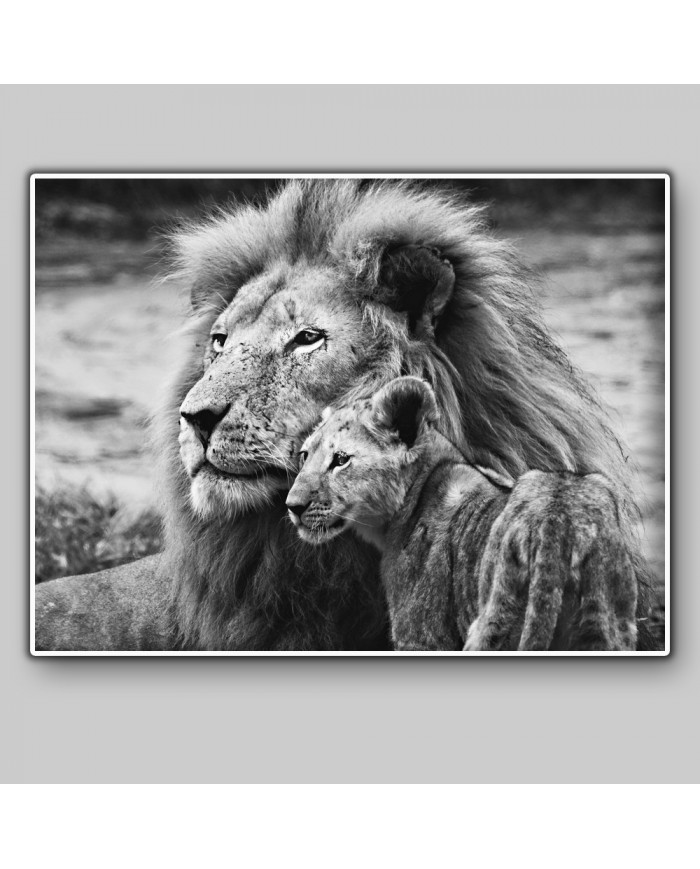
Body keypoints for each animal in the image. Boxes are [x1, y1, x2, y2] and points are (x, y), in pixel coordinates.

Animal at [285, 377, 638, 651]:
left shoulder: (423, 636)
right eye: (304, 455)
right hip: (608, 626)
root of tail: (559, 519)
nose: (292, 506)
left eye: (341, 459)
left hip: (494, 623)